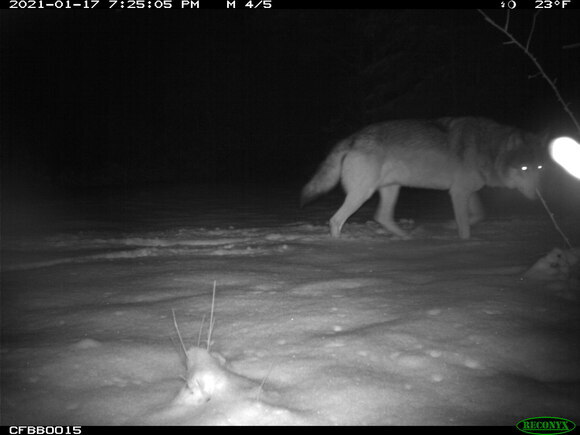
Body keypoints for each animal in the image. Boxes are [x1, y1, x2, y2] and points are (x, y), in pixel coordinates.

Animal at [302, 117, 548, 240]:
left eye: (539, 167)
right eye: (524, 168)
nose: (538, 198)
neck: (487, 148)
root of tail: (352, 137)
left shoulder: (467, 192)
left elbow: (478, 214)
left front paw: (450, 226)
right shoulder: (458, 192)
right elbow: (465, 227)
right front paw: (464, 243)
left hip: (392, 188)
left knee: (382, 217)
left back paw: (408, 239)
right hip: (362, 194)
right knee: (336, 220)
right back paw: (339, 247)